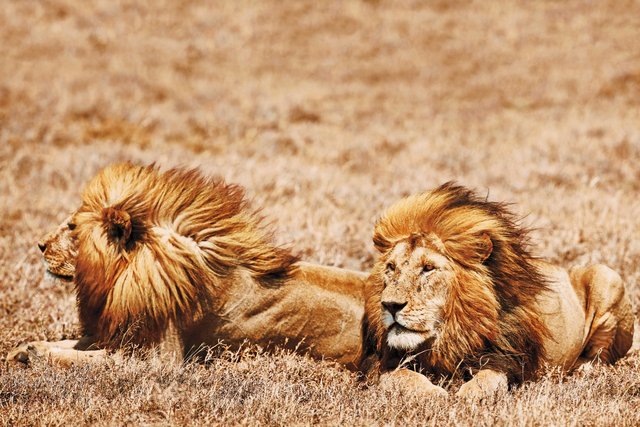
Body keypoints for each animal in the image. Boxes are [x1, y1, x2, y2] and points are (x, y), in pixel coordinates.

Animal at [6, 164, 364, 372]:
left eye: (72, 228)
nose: (40, 245)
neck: (123, 275)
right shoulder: (118, 335)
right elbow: (71, 344)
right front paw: (22, 348)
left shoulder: (158, 357)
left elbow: (82, 358)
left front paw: (34, 353)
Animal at [360, 182, 636, 400]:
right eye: (391, 267)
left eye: (428, 268)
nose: (390, 305)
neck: (449, 334)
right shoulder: (382, 363)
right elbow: (400, 377)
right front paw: (433, 393)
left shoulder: (506, 359)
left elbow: (489, 379)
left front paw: (468, 395)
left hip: (607, 277)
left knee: (599, 358)